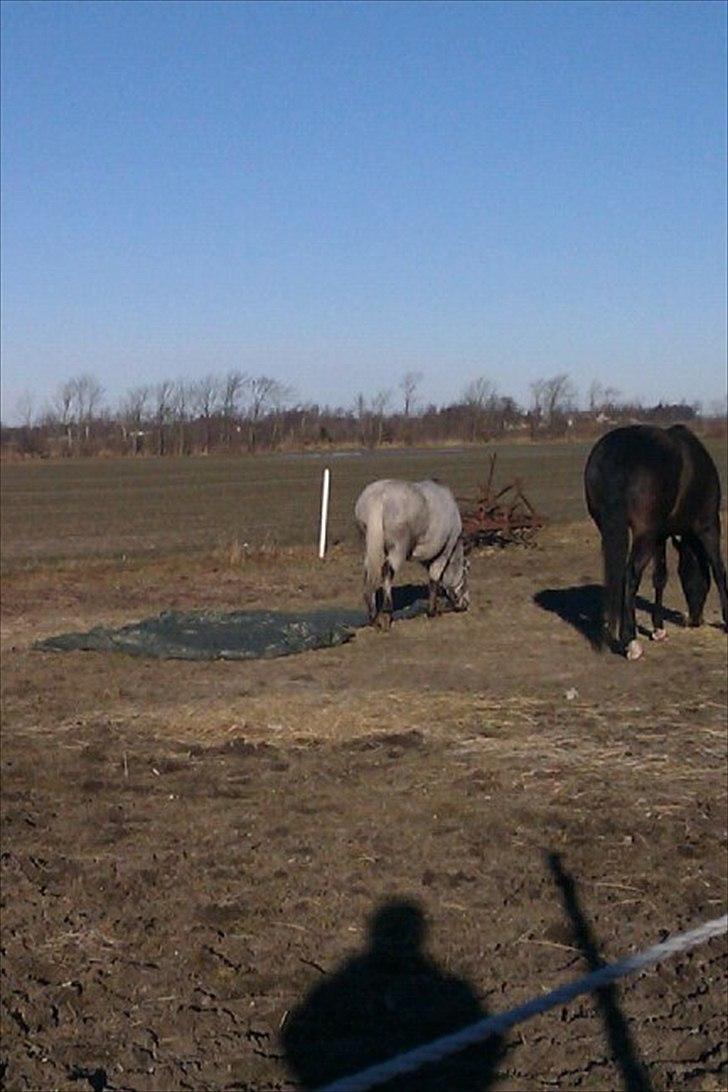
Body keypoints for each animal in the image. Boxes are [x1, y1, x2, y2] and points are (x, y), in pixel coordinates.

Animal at [354, 479, 470, 630]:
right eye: (465, 575)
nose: (466, 604)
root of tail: (378, 496)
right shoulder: (445, 551)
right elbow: (435, 577)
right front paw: (432, 611)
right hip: (398, 548)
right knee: (387, 571)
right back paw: (387, 613)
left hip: (370, 545)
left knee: (370, 573)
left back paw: (373, 617)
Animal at [584, 424, 728, 659]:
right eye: (690, 579)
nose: (695, 620)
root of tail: (617, 451)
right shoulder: (709, 527)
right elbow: (718, 571)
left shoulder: (661, 535)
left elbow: (660, 577)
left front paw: (658, 629)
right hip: (645, 535)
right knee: (631, 575)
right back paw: (630, 641)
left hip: (615, 529)